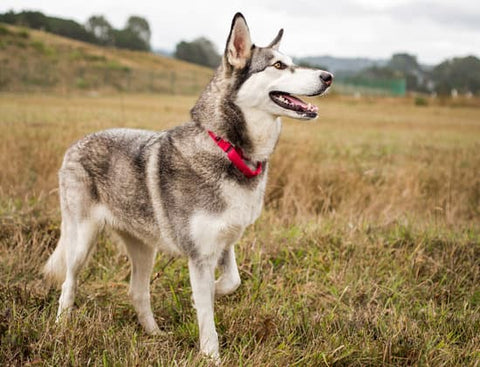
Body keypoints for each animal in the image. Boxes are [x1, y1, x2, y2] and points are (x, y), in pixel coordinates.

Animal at [43, 11, 332, 362]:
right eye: (278, 65)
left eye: (291, 62)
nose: (328, 76)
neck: (228, 149)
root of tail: (76, 144)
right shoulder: (200, 254)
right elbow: (207, 316)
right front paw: (211, 356)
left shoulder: (224, 242)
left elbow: (232, 281)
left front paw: (215, 291)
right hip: (82, 240)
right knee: (68, 284)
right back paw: (60, 328)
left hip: (144, 247)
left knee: (137, 291)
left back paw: (155, 335)